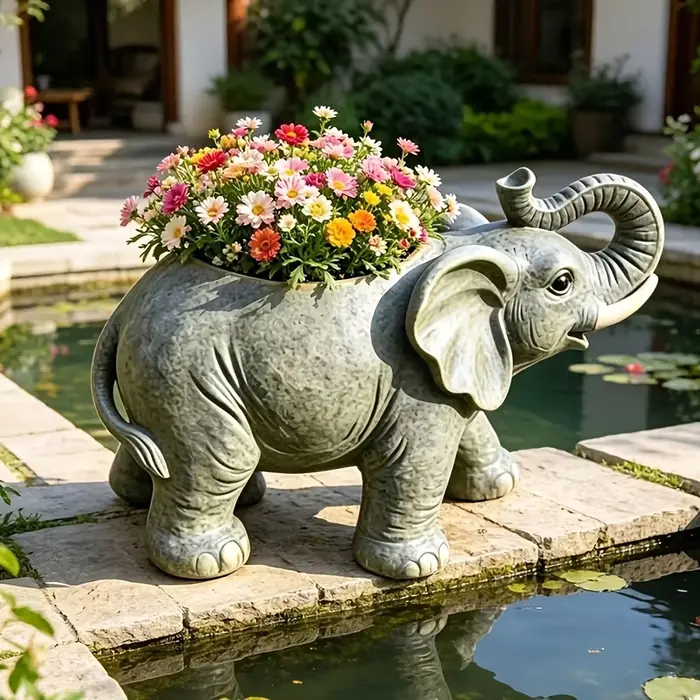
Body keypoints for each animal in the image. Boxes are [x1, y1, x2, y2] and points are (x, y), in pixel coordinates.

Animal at [91, 167, 664, 581]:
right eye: (563, 283)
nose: (516, 178)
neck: (461, 250)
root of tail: (123, 311)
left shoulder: (449, 368)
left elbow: (469, 421)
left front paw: (499, 486)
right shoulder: (415, 383)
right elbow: (414, 461)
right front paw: (419, 568)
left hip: (160, 374)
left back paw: (150, 499)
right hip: (187, 375)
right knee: (220, 458)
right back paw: (215, 562)